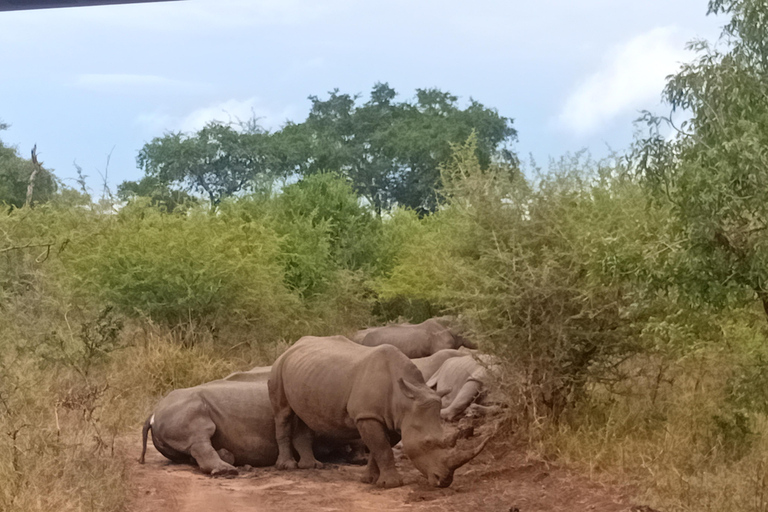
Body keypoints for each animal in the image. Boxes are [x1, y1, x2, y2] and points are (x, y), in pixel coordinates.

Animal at [269, 335, 490, 488]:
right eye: (427, 442)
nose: (443, 481)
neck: (405, 400)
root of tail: (293, 345)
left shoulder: (393, 419)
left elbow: (379, 447)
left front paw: (371, 480)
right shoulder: (367, 415)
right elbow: (381, 448)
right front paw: (391, 485)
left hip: (307, 373)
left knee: (304, 416)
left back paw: (312, 466)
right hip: (278, 366)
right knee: (283, 413)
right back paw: (288, 467)